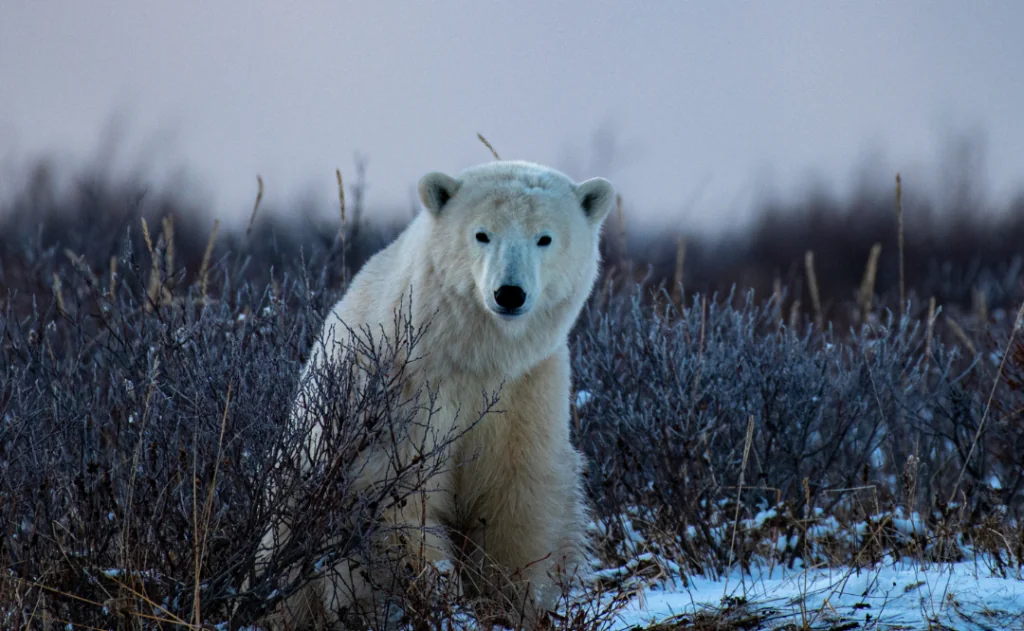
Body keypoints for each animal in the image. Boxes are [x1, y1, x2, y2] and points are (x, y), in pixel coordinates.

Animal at [253, 159, 614, 626]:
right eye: (482, 233)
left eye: (544, 237)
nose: (509, 293)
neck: (472, 352)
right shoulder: (402, 389)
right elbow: (400, 495)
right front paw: (441, 596)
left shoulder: (527, 385)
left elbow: (517, 491)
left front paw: (516, 602)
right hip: (294, 498)